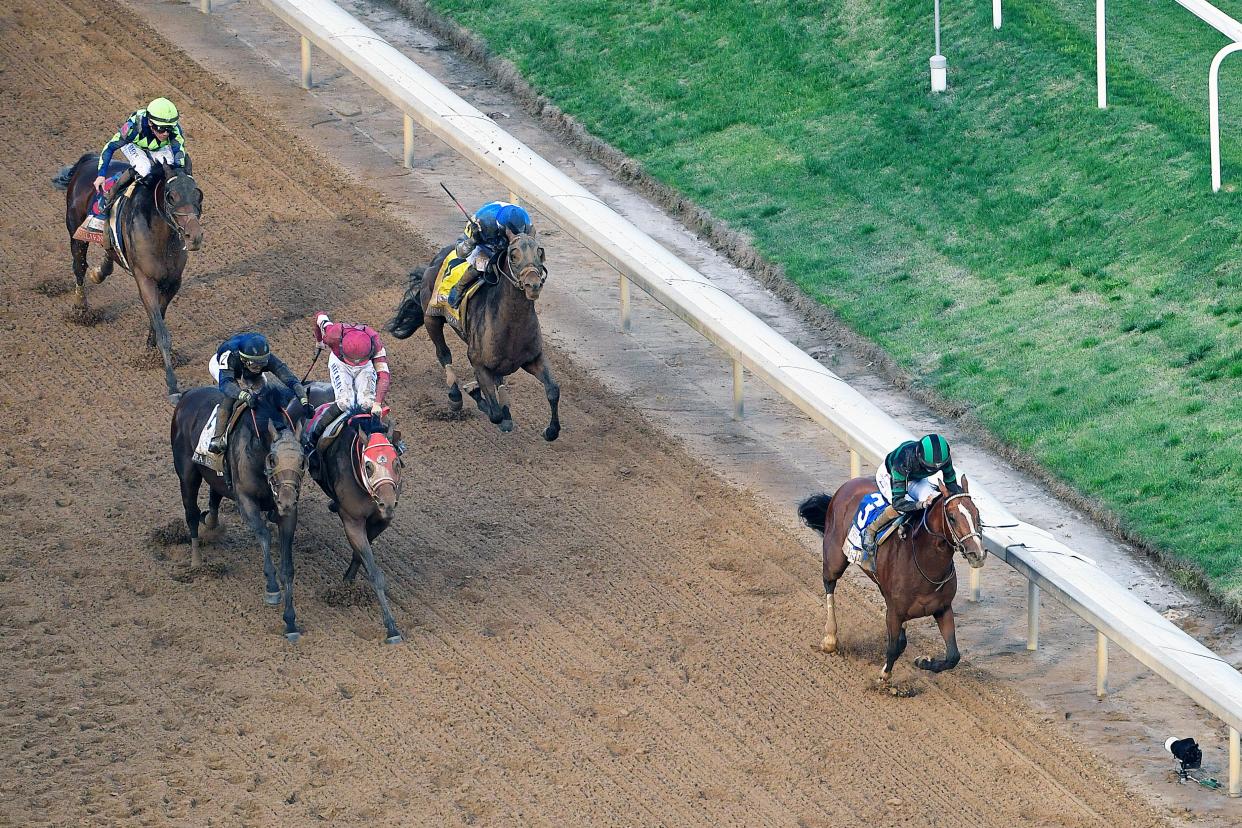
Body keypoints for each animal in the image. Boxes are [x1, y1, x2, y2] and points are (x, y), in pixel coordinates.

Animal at [61, 154, 203, 404]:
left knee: (105, 256)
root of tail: (90, 160)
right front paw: (172, 385)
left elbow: (158, 320)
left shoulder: (173, 282)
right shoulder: (145, 280)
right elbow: (163, 332)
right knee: (79, 267)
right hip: (75, 233)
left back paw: (100, 271)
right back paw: (80, 308)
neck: (162, 238)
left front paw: (150, 350)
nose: (194, 237)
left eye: (198, 194)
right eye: (171, 196)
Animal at [170, 382, 308, 640]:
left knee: (214, 496)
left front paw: (291, 621)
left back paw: (211, 523)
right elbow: (263, 535)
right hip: (186, 473)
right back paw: (196, 560)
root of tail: (188, 395)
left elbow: (288, 566)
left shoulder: (287, 514)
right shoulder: (246, 501)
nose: (286, 501)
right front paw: (272, 588)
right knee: (191, 513)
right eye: (272, 459)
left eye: (302, 461)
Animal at [308, 384, 404, 645]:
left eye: (396, 463)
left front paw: (347, 584)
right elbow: (373, 571)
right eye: (368, 465)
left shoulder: (380, 520)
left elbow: (360, 554)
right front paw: (391, 627)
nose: (388, 502)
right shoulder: (352, 520)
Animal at [389, 233, 561, 439]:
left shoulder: (533, 358)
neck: (512, 327)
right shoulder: (478, 363)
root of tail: (438, 257)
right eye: (513, 255)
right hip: (431, 317)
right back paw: (455, 396)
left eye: (540, 252)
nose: (533, 285)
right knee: (443, 353)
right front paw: (475, 392)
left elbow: (553, 390)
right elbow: (494, 414)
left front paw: (550, 431)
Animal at [799, 476, 983, 685]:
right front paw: (884, 677)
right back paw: (830, 638)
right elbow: (893, 647)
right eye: (951, 517)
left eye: (977, 514)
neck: (925, 563)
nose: (977, 554)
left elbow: (953, 656)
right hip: (835, 557)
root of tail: (849, 484)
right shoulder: (894, 611)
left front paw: (923, 661)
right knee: (829, 584)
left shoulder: (942, 608)